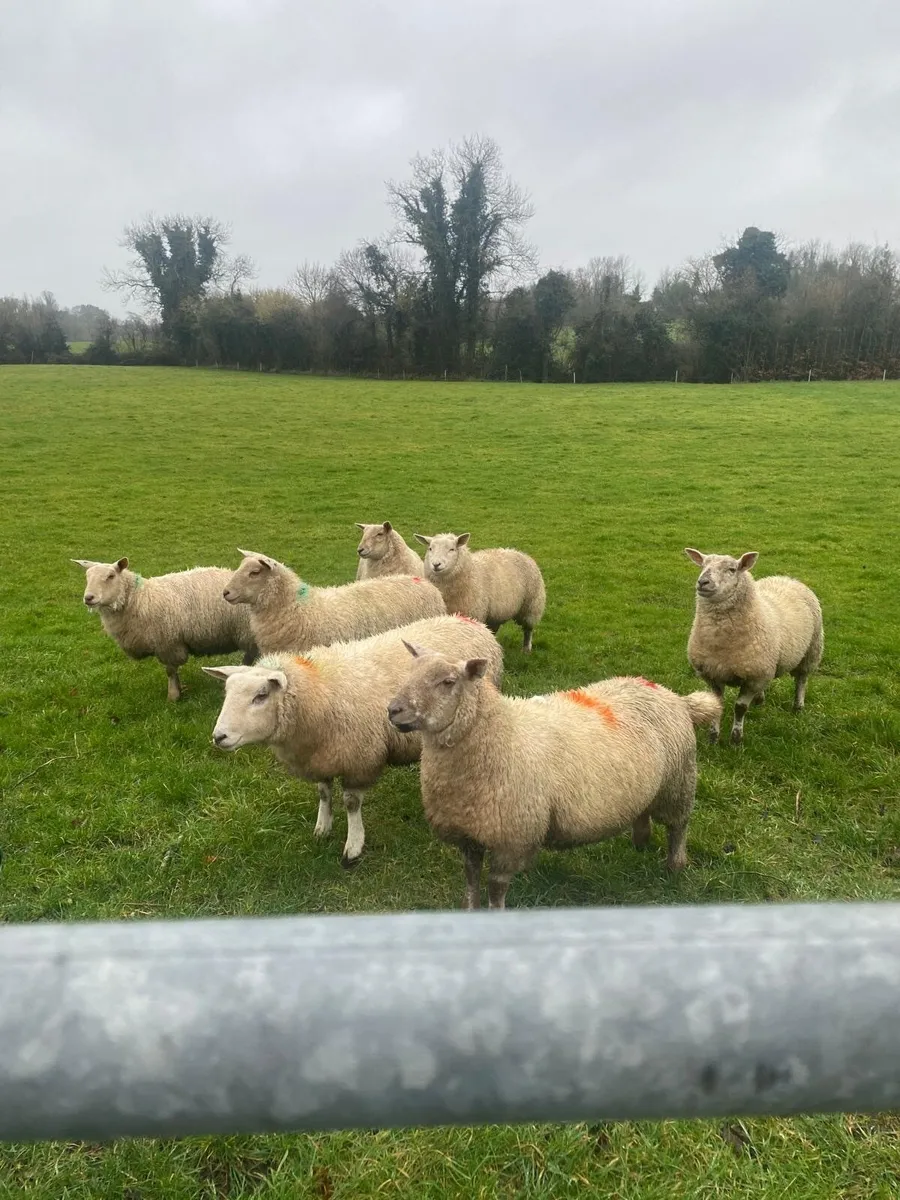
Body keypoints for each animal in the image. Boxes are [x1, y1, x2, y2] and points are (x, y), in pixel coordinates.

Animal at [72, 557, 257, 701]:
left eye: (110, 576)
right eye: (87, 577)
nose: (88, 598)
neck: (139, 599)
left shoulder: (168, 643)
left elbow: (170, 671)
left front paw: (173, 696)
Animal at [204, 615, 503, 866]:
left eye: (261, 695)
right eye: (227, 692)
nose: (219, 737)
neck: (319, 691)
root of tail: (470, 621)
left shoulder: (359, 758)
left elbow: (351, 804)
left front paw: (353, 845)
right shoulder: (321, 757)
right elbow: (324, 793)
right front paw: (322, 828)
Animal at [387, 647, 721, 909]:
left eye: (448, 682)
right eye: (409, 672)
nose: (393, 710)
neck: (500, 733)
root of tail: (675, 697)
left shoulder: (513, 838)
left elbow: (496, 889)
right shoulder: (468, 833)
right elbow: (470, 880)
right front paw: (469, 910)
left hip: (678, 783)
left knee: (679, 827)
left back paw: (675, 866)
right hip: (648, 784)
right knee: (644, 812)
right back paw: (640, 842)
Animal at [414, 532, 546, 652]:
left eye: (452, 549)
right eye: (430, 548)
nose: (436, 564)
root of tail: (519, 552)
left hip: (531, 605)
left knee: (528, 630)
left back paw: (526, 649)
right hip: (495, 614)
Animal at [684, 548, 824, 745]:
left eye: (732, 569)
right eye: (703, 565)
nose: (703, 582)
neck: (721, 643)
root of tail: (786, 578)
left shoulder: (754, 677)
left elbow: (740, 708)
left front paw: (736, 739)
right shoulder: (713, 673)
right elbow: (717, 705)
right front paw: (713, 738)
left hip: (811, 650)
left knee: (801, 680)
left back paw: (798, 706)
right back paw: (759, 699)